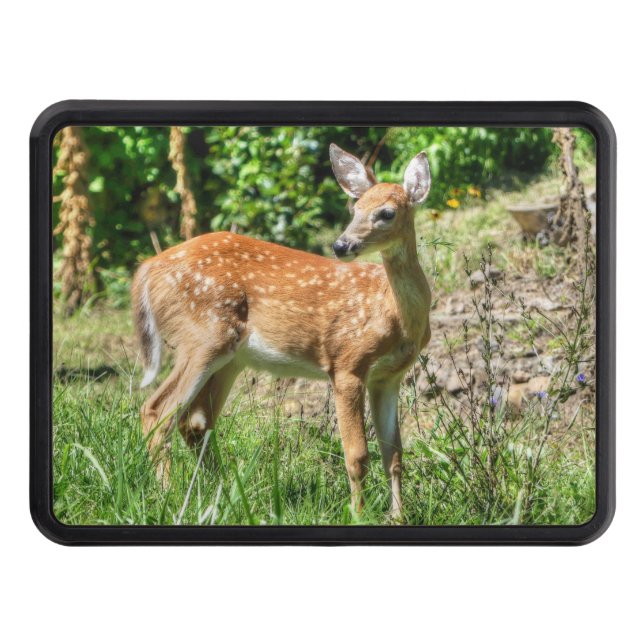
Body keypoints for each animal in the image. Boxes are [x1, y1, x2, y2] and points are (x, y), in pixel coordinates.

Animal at [132, 144, 432, 519]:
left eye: (387, 213)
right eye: (355, 208)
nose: (341, 245)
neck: (393, 315)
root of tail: (146, 269)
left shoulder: (388, 377)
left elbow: (394, 454)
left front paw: (397, 517)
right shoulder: (347, 363)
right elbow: (358, 455)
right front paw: (359, 515)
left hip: (230, 358)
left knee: (195, 421)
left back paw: (222, 494)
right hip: (203, 336)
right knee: (157, 411)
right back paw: (170, 497)